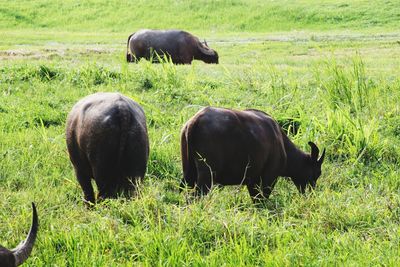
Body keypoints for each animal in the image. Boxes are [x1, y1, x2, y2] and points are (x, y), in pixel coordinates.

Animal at [181, 108, 324, 202]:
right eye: (318, 172)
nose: (312, 193)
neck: (282, 143)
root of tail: (195, 120)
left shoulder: (252, 180)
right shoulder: (270, 177)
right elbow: (262, 198)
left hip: (188, 173)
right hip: (206, 176)